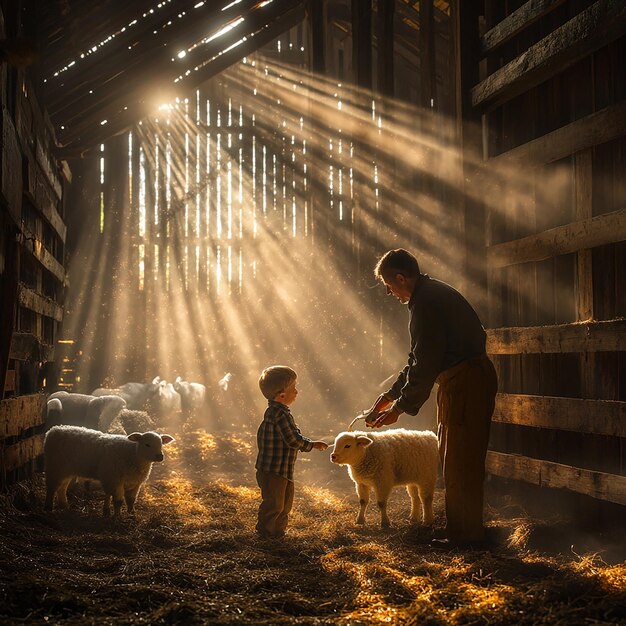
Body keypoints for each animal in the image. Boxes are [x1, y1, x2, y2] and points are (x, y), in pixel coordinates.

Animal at [44, 424, 173, 516]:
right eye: (147, 444)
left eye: (161, 444)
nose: (160, 456)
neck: (134, 455)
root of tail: (54, 430)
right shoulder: (115, 479)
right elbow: (118, 501)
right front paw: (117, 516)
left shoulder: (135, 483)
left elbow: (131, 500)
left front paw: (132, 514)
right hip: (55, 466)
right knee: (51, 487)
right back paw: (48, 507)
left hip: (66, 470)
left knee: (62, 487)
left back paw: (63, 505)